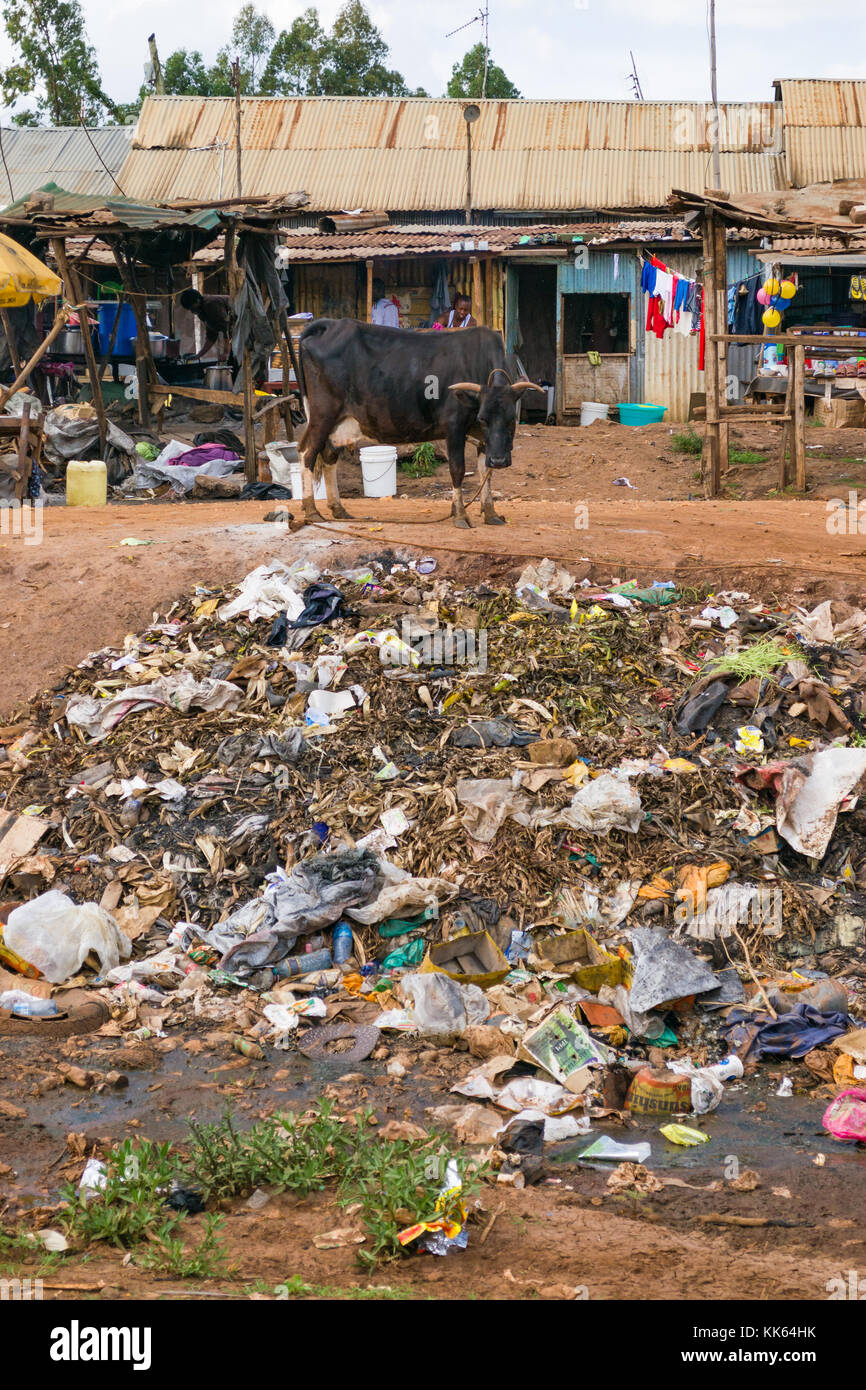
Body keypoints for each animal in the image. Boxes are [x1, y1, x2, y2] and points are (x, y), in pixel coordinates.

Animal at [294, 318, 544, 525]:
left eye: (511, 419)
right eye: (483, 418)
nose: (500, 460)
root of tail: (330, 325)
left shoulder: (483, 438)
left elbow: (485, 472)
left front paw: (490, 513)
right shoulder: (455, 427)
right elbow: (458, 469)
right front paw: (460, 515)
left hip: (341, 423)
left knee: (328, 457)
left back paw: (338, 509)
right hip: (323, 414)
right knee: (307, 453)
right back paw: (311, 511)